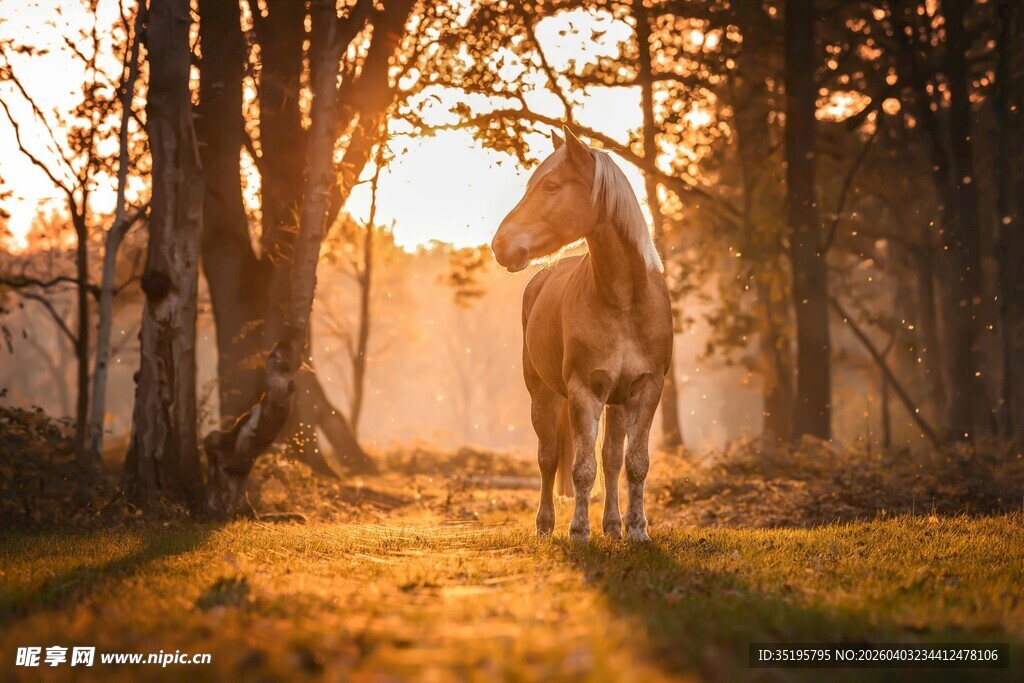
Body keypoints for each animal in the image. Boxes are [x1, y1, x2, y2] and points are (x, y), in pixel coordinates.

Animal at [491, 127, 673, 542]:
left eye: (551, 185)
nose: (500, 245)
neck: (625, 302)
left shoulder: (646, 389)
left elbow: (634, 464)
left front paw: (637, 530)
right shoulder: (583, 391)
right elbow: (581, 468)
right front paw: (578, 531)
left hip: (617, 402)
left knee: (611, 460)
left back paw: (613, 526)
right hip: (542, 396)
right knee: (548, 458)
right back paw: (545, 525)